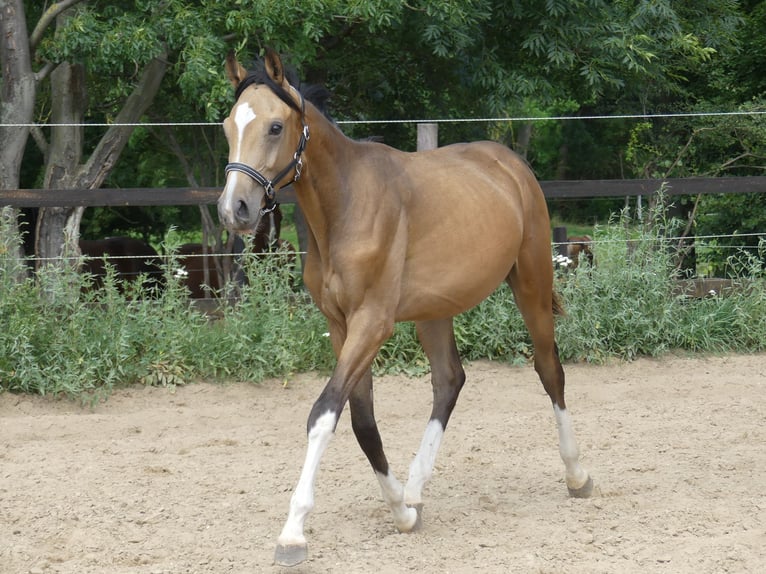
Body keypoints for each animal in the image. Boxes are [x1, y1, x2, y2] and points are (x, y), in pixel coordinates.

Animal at [219, 48, 596, 568]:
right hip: (435, 310)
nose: (234, 209)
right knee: (449, 380)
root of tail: (509, 163)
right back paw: (416, 488)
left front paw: (293, 533)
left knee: (549, 370)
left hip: (532, 284)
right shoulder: (341, 327)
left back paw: (577, 475)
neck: (346, 207)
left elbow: (324, 413)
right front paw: (401, 509)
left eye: (275, 127)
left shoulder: (372, 324)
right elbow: (361, 421)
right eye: (227, 126)